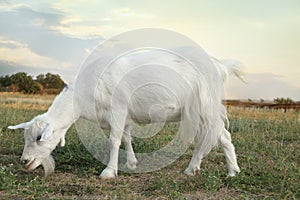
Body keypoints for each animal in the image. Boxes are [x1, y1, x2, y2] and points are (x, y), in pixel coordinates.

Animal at [7, 48, 241, 178]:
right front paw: (131, 163)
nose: (25, 162)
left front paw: (109, 172)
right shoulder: (125, 116)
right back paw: (222, 171)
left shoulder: (117, 110)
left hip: (204, 107)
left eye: (39, 137)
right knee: (216, 137)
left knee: (219, 136)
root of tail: (219, 66)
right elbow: (127, 139)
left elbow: (114, 140)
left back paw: (211, 170)